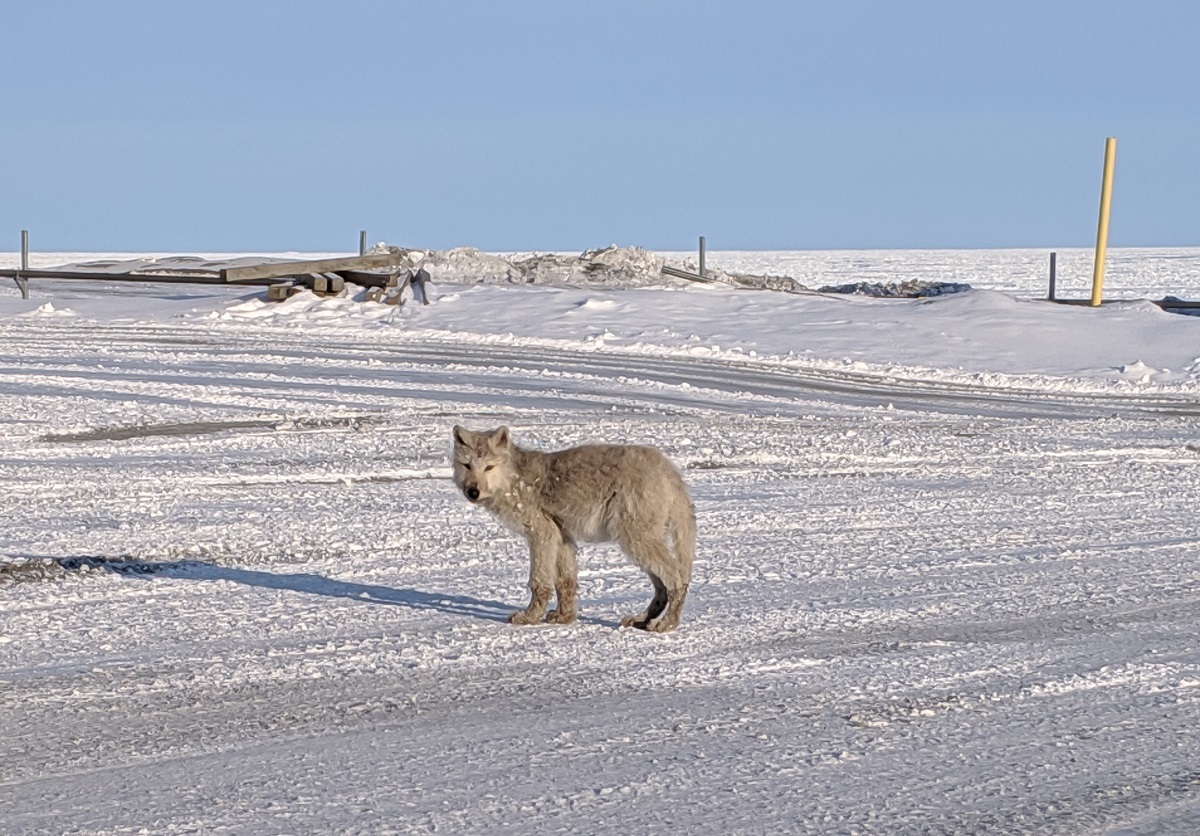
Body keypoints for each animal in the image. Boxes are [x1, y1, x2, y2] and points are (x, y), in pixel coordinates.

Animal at [451, 426, 696, 628]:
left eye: (489, 467)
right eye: (467, 465)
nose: (472, 491)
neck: (515, 479)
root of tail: (670, 472)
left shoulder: (542, 535)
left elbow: (539, 582)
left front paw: (529, 617)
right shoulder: (562, 536)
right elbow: (565, 581)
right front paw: (564, 617)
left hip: (636, 541)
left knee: (677, 580)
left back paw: (666, 624)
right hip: (640, 545)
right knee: (662, 587)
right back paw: (642, 620)